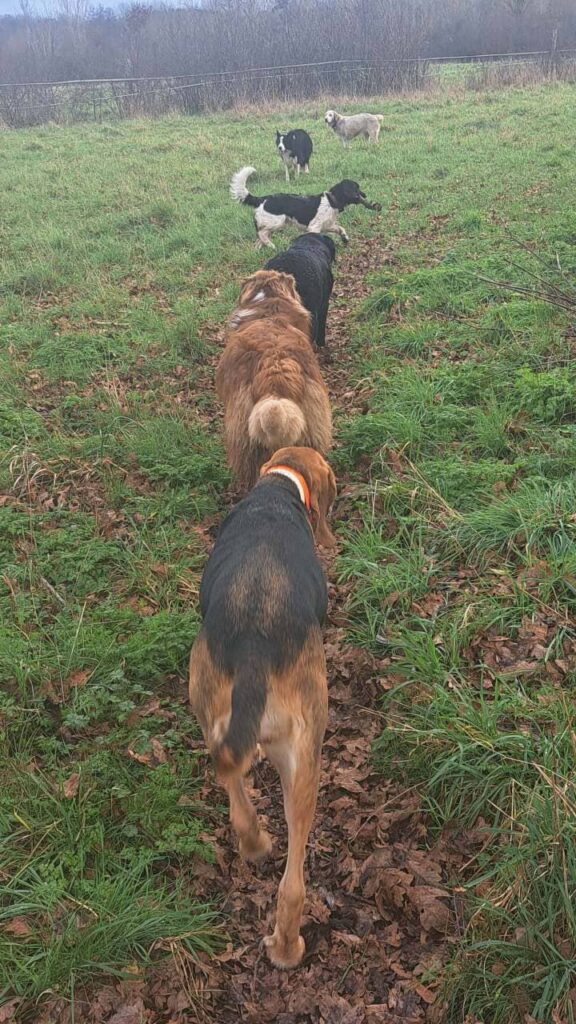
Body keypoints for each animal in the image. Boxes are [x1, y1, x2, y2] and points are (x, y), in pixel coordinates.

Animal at [228, 166, 381, 250]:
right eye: (356, 189)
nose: (364, 196)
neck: (331, 201)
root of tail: (262, 199)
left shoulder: (328, 225)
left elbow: (340, 228)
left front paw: (345, 239)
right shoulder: (314, 227)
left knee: (259, 241)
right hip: (277, 222)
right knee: (261, 234)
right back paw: (272, 246)